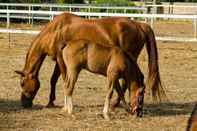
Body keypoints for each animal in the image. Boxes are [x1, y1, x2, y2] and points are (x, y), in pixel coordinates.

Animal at [14, 12, 165, 108]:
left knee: (127, 81)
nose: (24, 104)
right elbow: (53, 80)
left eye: (22, 83)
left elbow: (63, 79)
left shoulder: (60, 59)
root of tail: (139, 25)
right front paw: (51, 101)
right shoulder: (58, 60)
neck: (56, 30)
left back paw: (115, 103)